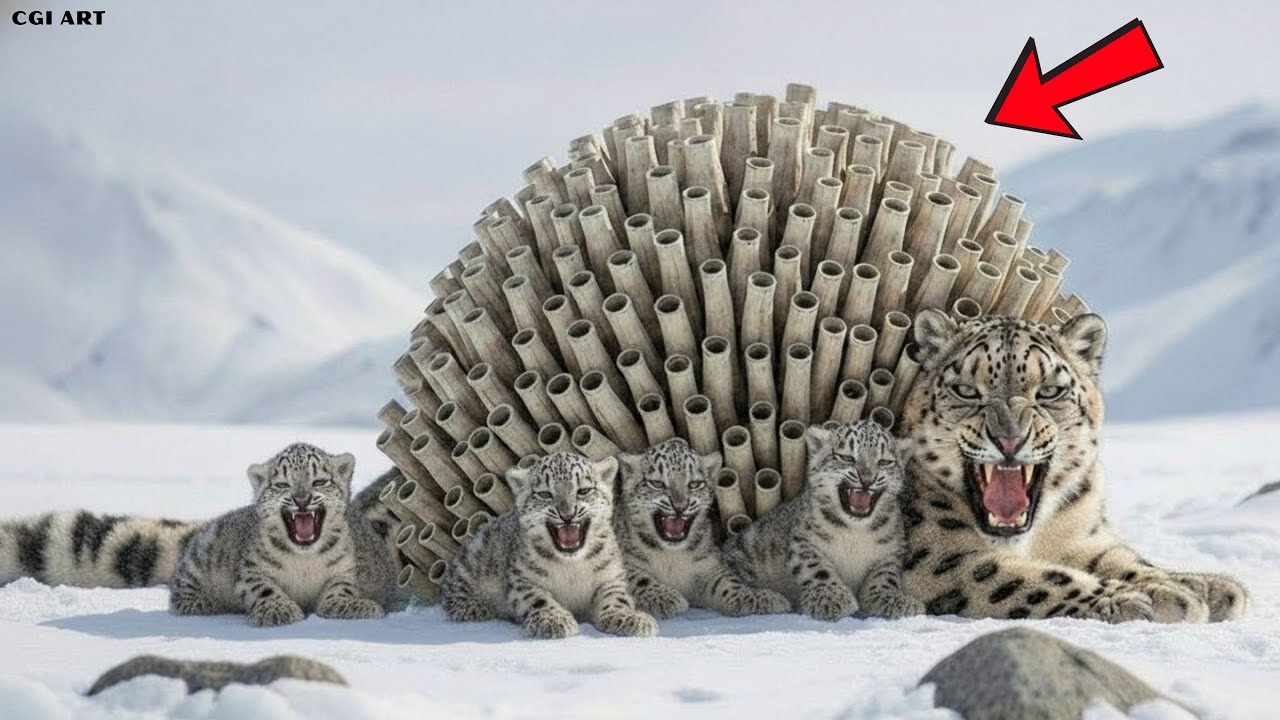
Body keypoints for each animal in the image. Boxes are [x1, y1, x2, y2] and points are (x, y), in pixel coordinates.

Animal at [900, 309, 1248, 623]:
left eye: (1049, 391)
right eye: (966, 391)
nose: (1010, 438)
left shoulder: (1082, 535)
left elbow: (1125, 560)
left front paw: (1200, 586)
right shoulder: (937, 555)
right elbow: (1027, 577)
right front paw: (1137, 599)